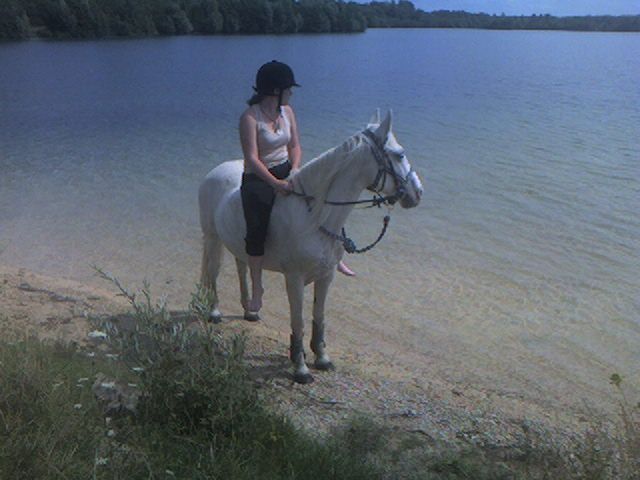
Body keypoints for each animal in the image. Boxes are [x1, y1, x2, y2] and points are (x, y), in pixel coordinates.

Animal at [198, 110, 423, 384]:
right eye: (400, 154)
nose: (418, 192)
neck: (315, 217)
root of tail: (215, 171)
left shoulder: (326, 276)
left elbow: (319, 317)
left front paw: (322, 358)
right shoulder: (294, 279)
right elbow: (299, 321)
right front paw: (301, 368)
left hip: (237, 244)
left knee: (242, 266)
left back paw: (249, 311)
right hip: (212, 238)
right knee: (213, 272)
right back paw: (214, 312)